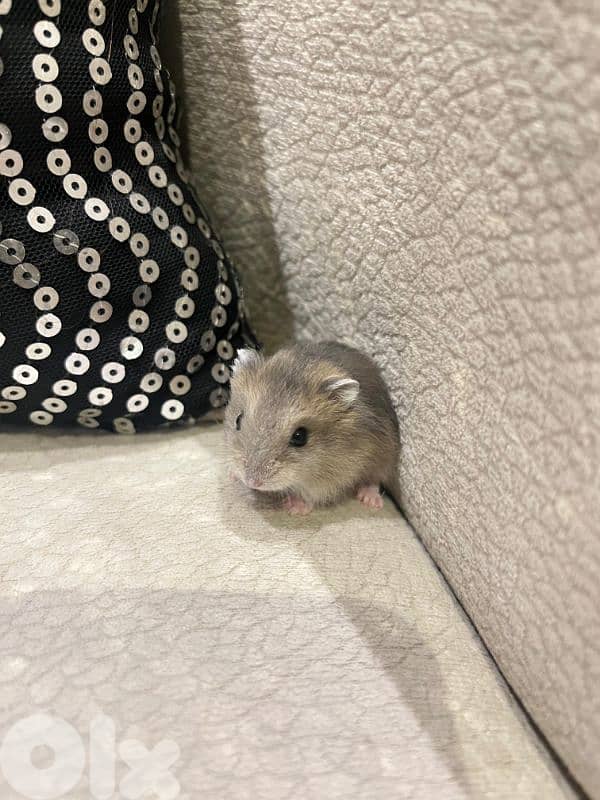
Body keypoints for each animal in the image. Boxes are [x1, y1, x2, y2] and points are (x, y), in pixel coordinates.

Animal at [224, 341, 401, 515]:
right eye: (238, 420)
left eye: (300, 437)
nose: (252, 482)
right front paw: (232, 475)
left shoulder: (333, 477)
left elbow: (311, 493)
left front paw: (295, 508)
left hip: (385, 454)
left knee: (374, 479)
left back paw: (371, 501)